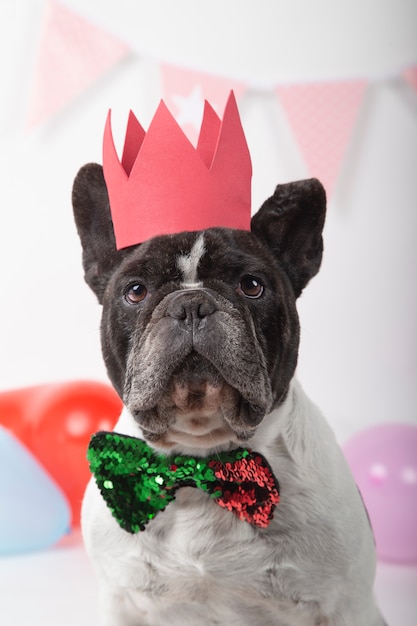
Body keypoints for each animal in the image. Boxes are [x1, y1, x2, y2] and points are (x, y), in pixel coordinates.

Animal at [70, 162, 384, 624]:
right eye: (135, 291)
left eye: (251, 286)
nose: (191, 304)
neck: (200, 462)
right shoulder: (121, 601)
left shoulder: (348, 604)